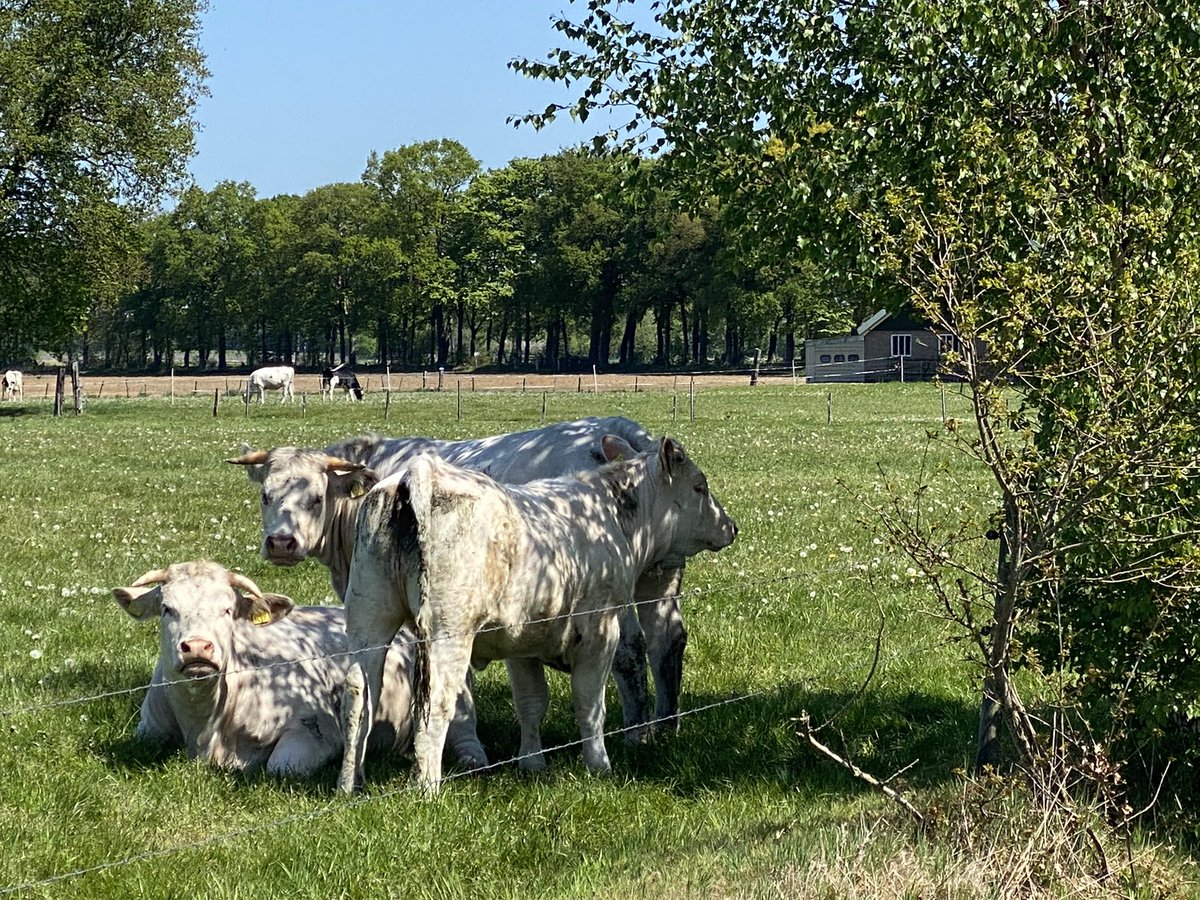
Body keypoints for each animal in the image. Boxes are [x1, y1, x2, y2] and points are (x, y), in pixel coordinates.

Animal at [112, 560, 487, 777]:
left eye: (228, 610)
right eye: (167, 608)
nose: (198, 647)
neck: (203, 725)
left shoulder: (316, 731)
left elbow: (282, 767)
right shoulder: (148, 729)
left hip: (458, 699)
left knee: (464, 735)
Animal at [228, 417, 692, 741]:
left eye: (315, 497)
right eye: (266, 495)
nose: (281, 543)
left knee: (629, 651)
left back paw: (634, 734)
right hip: (659, 577)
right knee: (667, 641)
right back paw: (665, 727)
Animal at [337, 434, 737, 792]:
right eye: (700, 487)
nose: (731, 527)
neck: (612, 518)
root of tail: (421, 471)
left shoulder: (520, 641)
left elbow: (531, 703)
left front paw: (532, 763)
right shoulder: (600, 632)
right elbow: (589, 702)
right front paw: (599, 765)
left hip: (368, 620)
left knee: (360, 696)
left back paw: (350, 783)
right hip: (447, 633)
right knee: (435, 702)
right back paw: (427, 788)